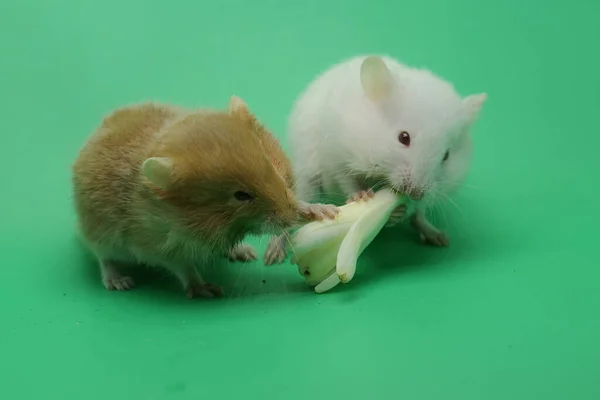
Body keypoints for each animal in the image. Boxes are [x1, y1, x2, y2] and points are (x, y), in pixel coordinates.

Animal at [71, 96, 338, 296]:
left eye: (274, 168)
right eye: (241, 195)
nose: (290, 217)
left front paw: (323, 211)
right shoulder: (157, 248)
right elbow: (183, 267)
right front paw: (207, 290)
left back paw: (243, 252)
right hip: (100, 236)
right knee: (104, 259)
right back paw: (119, 282)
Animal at [264, 54, 488, 266]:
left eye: (447, 155)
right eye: (403, 137)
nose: (416, 193)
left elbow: (410, 209)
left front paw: (399, 212)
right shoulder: (335, 159)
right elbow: (347, 180)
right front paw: (362, 196)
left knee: (419, 216)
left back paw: (439, 237)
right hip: (305, 181)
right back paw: (272, 255)